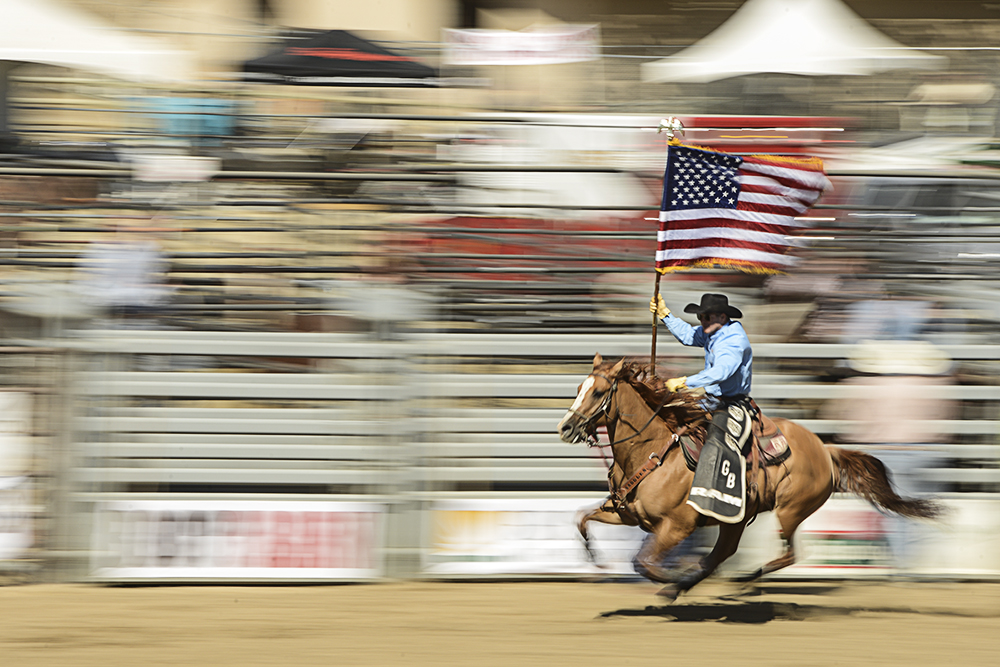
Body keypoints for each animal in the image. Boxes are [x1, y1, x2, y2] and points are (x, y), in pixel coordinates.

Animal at [560, 354, 940, 600]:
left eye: (598, 392)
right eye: (578, 387)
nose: (565, 427)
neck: (653, 451)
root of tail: (825, 449)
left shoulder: (676, 526)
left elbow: (642, 562)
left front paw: (670, 579)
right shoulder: (626, 514)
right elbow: (581, 518)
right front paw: (596, 559)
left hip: (790, 510)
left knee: (788, 555)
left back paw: (739, 580)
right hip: (737, 519)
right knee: (723, 554)